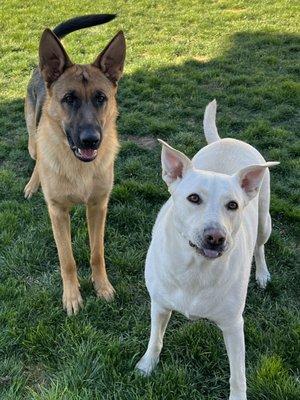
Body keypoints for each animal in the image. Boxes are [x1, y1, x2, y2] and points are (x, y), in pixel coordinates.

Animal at [24, 14, 126, 316]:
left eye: (101, 98)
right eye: (69, 98)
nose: (91, 140)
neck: (79, 167)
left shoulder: (98, 206)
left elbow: (97, 252)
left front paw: (102, 286)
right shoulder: (58, 213)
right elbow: (66, 259)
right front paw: (71, 296)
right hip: (33, 140)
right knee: (36, 156)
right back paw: (33, 184)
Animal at [136, 101, 278, 400]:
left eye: (233, 205)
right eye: (193, 198)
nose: (216, 237)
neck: (196, 268)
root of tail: (226, 139)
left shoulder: (234, 325)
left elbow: (238, 373)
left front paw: (238, 396)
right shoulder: (159, 304)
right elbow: (156, 338)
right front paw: (147, 365)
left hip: (264, 220)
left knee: (260, 246)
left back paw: (262, 274)